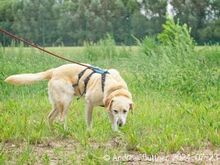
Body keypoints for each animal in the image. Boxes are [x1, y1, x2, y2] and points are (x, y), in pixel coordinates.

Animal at [4, 63, 132, 131]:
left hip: (57, 103)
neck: (115, 87)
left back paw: (52, 131)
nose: (121, 124)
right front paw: (89, 131)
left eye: (125, 111)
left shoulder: (108, 107)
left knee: (50, 117)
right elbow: (89, 121)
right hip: (66, 100)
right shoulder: (89, 103)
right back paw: (66, 131)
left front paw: (116, 132)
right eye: (116, 110)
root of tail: (54, 71)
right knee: (61, 119)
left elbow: (112, 121)